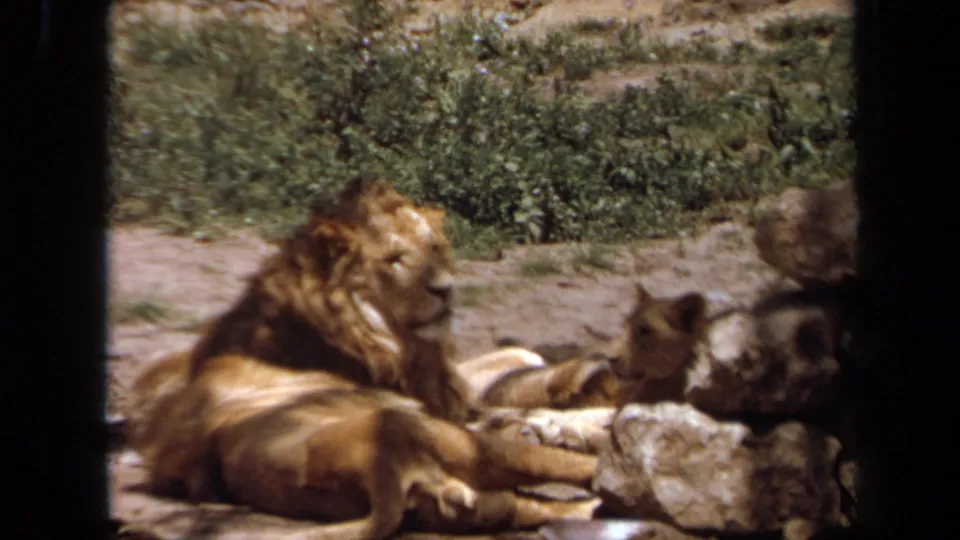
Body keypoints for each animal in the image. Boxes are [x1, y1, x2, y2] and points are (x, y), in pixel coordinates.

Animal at [126, 179, 601, 538]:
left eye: (434, 249)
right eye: (395, 260)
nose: (445, 290)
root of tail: (379, 481)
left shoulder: (439, 383)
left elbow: (514, 358)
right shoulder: (429, 399)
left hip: (485, 502)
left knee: (555, 506)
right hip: (456, 444)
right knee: (565, 469)